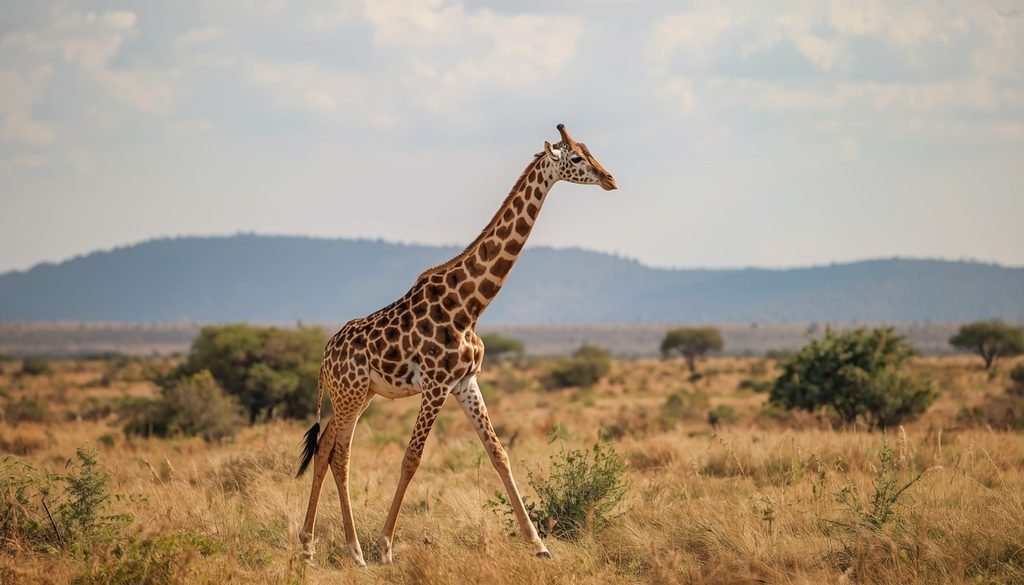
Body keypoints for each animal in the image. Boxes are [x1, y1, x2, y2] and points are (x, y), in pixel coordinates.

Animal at [296, 124, 616, 566]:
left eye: (590, 151)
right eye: (576, 158)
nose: (610, 179)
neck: (470, 306)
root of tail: (324, 358)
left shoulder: (466, 381)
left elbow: (498, 453)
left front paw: (539, 545)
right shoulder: (436, 384)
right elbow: (411, 459)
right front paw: (386, 546)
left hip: (360, 395)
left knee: (330, 449)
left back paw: (323, 546)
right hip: (350, 393)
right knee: (335, 454)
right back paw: (344, 549)